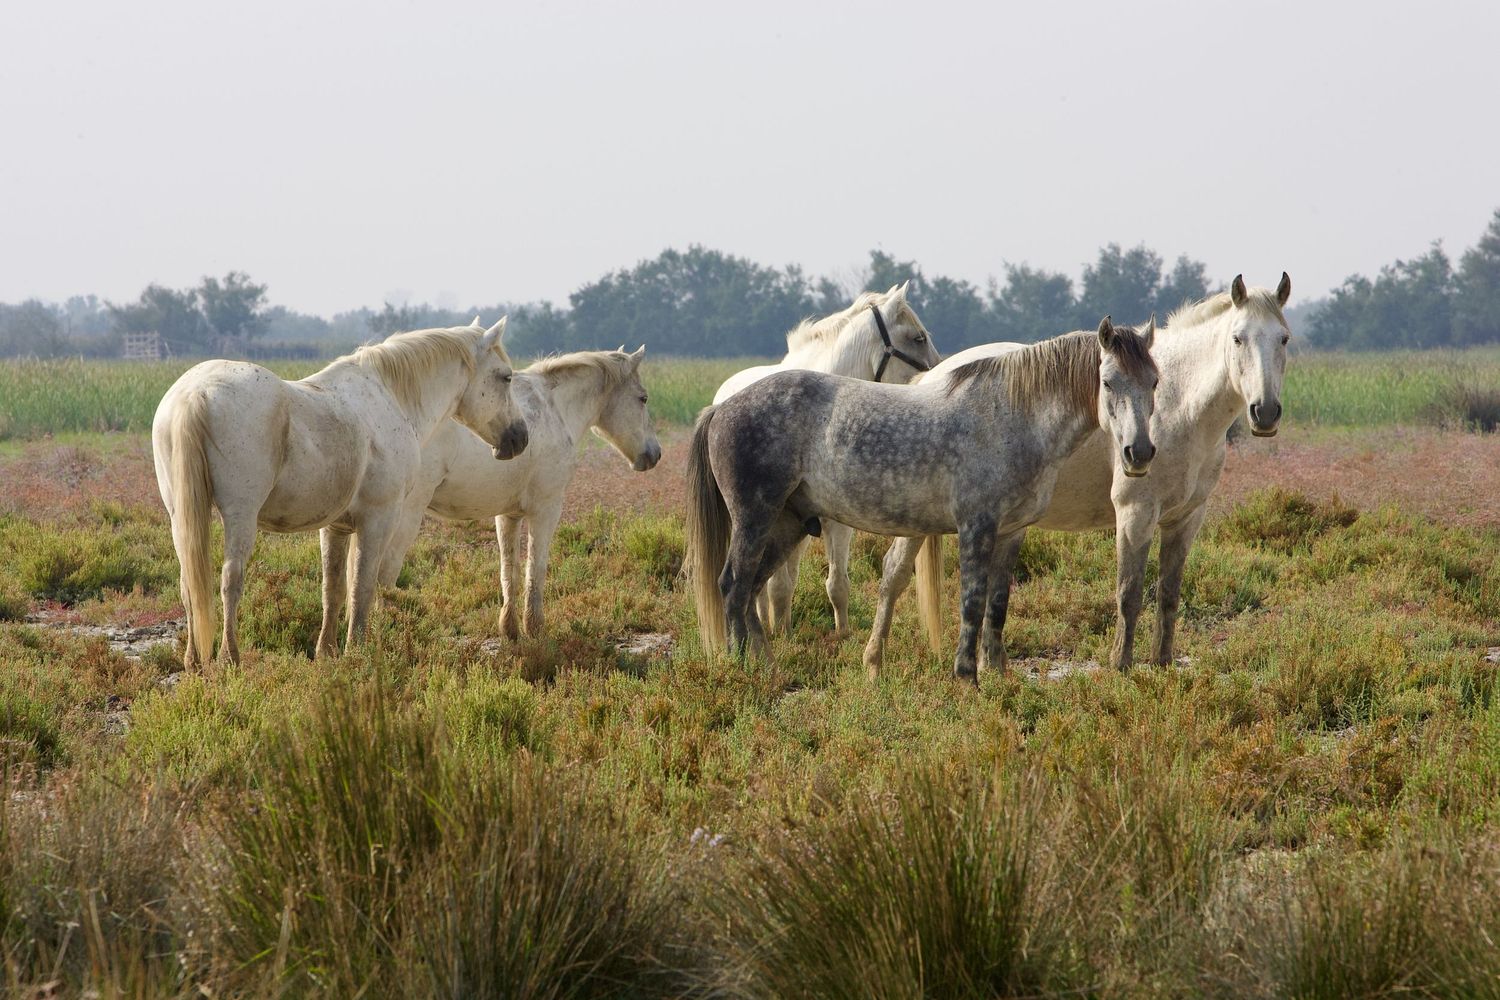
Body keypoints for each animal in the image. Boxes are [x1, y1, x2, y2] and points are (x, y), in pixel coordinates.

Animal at [151, 318, 529, 667]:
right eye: (506, 377)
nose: (519, 437)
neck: (390, 398)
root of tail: (195, 393)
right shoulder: (377, 520)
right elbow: (362, 586)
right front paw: (356, 652)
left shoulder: (335, 526)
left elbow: (332, 589)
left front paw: (327, 652)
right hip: (239, 515)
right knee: (230, 579)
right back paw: (229, 658)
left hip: (181, 517)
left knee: (189, 582)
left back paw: (193, 660)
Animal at [375, 347, 661, 638]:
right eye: (643, 398)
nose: (655, 454)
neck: (554, 409)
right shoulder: (546, 510)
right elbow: (536, 566)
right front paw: (534, 628)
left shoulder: (508, 515)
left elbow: (509, 568)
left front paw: (510, 629)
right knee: (383, 573)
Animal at [686, 318, 1158, 683]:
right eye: (1107, 381)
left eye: (1154, 382)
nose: (1139, 453)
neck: (1012, 416)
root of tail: (721, 408)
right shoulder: (975, 527)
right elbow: (971, 601)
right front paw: (966, 678)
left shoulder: (1011, 533)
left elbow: (997, 604)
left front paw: (996, 674)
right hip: (755, 517)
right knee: (733, 585)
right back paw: (741, 670)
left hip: (786, 524)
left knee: (750, 588)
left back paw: (768, 669)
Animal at [712, 282, 941, 636]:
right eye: (918, 338)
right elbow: (780, 585)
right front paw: (781, 634)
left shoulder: (837, 524)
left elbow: (837, 584)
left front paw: (842, 635)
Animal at [895, 273, 1292, 672]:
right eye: (1238, 338)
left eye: (1284, 338)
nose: (1265, 412)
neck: (1179, 404)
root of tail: (927, 379)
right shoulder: (1135, 514)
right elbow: (1129, 593)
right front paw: (1121, 665)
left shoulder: (1186, 519)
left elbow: (1169, 593)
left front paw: (1162, 664)